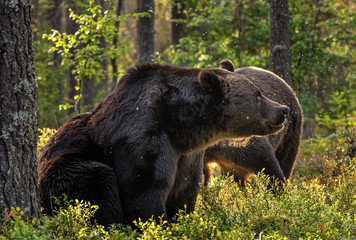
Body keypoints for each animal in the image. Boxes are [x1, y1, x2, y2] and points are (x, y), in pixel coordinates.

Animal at [39, 62, 290, 226]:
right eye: (257, 95)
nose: (284, 109)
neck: (179, 126)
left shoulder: (188, 157)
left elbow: (185, 192)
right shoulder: (143, 139)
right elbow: (145, 190)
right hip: (64, 171)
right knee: (96, 180)